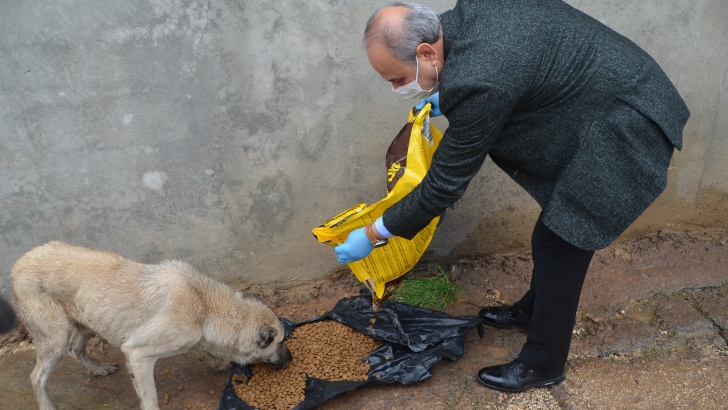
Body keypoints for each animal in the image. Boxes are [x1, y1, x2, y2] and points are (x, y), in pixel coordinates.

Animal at [11, 240, 290, 410]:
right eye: (279, 343)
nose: (292, 359)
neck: (203, 304)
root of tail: (17, 265)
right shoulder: (137, 354)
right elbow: (150, 398)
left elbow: (204, 349)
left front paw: (218, 362)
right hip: (56, 337)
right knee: (37, 376)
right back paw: (47, 403)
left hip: (85, 323)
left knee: (76, 350)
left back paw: (99, 369)